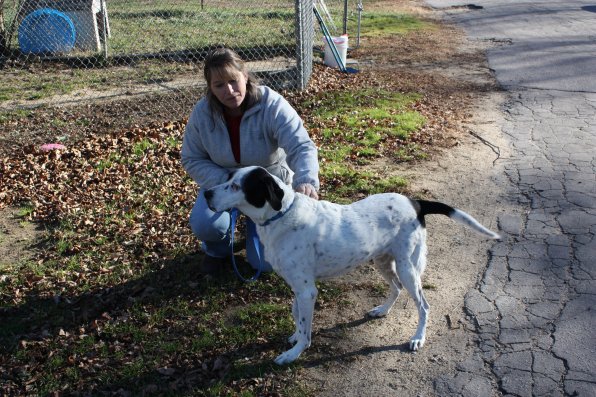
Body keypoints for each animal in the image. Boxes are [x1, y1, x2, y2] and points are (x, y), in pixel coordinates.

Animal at [204, 166, 498, 364]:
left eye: (236, 186)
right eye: (228, 178)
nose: (206, 193)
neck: (281, 215)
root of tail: (415, 202)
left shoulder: (307, 290)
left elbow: (305, 328)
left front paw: (294, 352)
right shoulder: (297, 287)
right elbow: (296, 315)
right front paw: (295, 337)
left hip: (408, 267)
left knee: (424, 305)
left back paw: (418, 338)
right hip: (383, 261)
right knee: (396, 288)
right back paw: (382, 310)